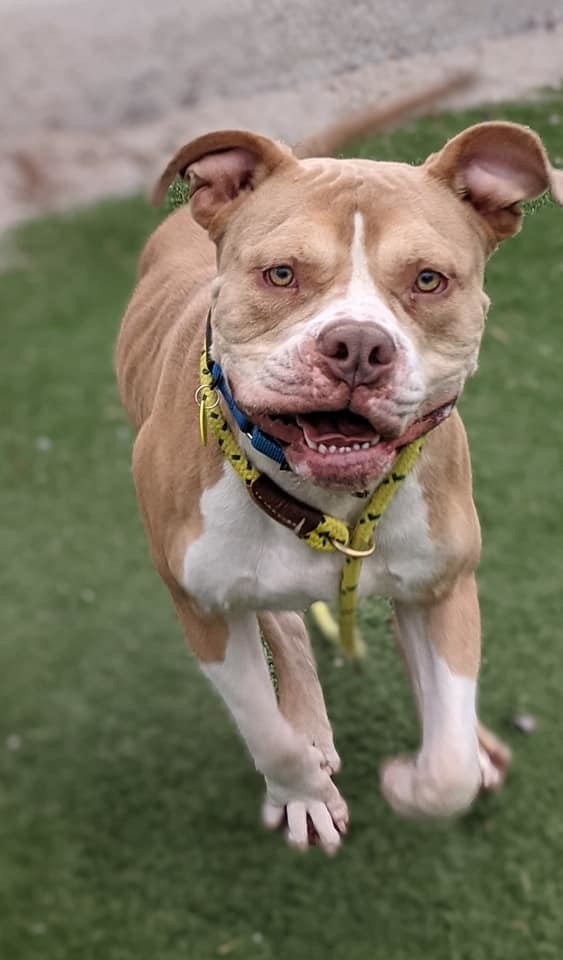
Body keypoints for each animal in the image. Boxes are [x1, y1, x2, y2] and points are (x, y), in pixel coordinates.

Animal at [115, 86, 563, 856]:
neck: (327, 504)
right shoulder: (203, 609)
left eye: (428, 280)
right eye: (281, 273)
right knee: (287, 630)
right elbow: (267, 733)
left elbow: (447, 765)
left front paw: (419, 778)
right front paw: (302, 792)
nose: (357, 345)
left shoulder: (447, 585)